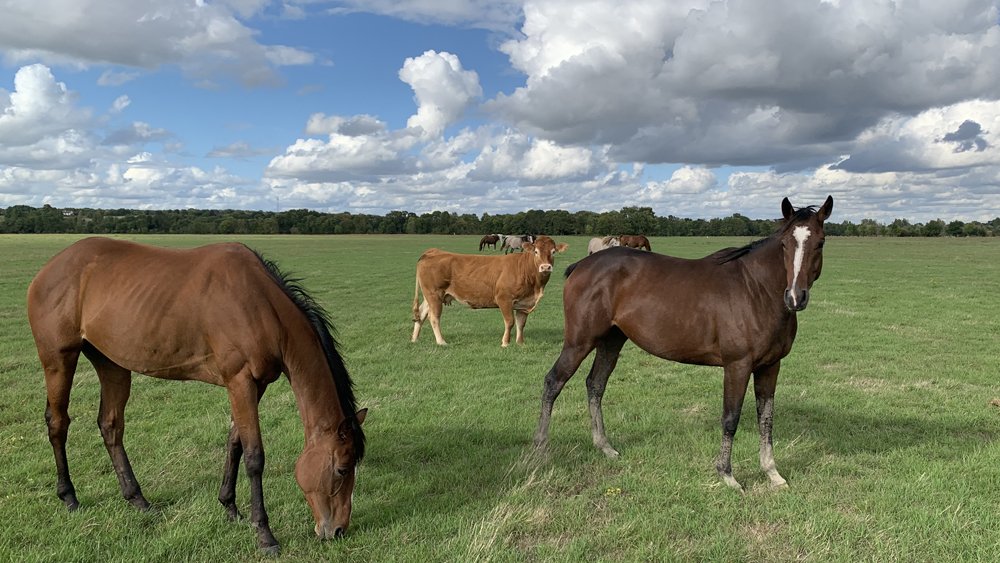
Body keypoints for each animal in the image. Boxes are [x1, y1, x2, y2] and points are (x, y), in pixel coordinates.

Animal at [26, 237, 368, 553]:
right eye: (342, 469)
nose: (337, 530)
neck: (260, 305)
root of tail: (49, 269)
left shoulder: (254, 385)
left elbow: (235, 443)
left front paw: (230, 507)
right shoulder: (240, 381)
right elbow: (254, 456)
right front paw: (264, 534)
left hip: (111, 363)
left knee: (110, 426)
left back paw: (137, 499)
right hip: (59, 358)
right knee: (58, 422)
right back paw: (69, 496)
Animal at [411, 235, 569, 347]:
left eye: (553, 252)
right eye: (536, 252)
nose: (545, 267)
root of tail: (433, 252)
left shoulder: (524, 303)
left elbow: (521, 323)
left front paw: (520, 343)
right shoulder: (504, 299)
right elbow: (510, 321)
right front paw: (505, 343)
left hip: (430, 296)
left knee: (422, 313)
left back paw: (414, 339)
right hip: (434, 294)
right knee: (434, 317)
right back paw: (441, 342)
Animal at [534, 196, 833, 492]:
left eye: (820, 242)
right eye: (784, 244)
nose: (795, 297)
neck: (755, 290)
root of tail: (582, 265)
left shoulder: (770, 366)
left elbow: (766, 418)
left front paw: (772, 473)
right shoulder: (737, 366)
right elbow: (731, 417)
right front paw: (727, 474)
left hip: (611, 341)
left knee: (595, 385)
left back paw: (604, 447)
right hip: (579, 341)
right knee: (553, 382)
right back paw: (541, 449)